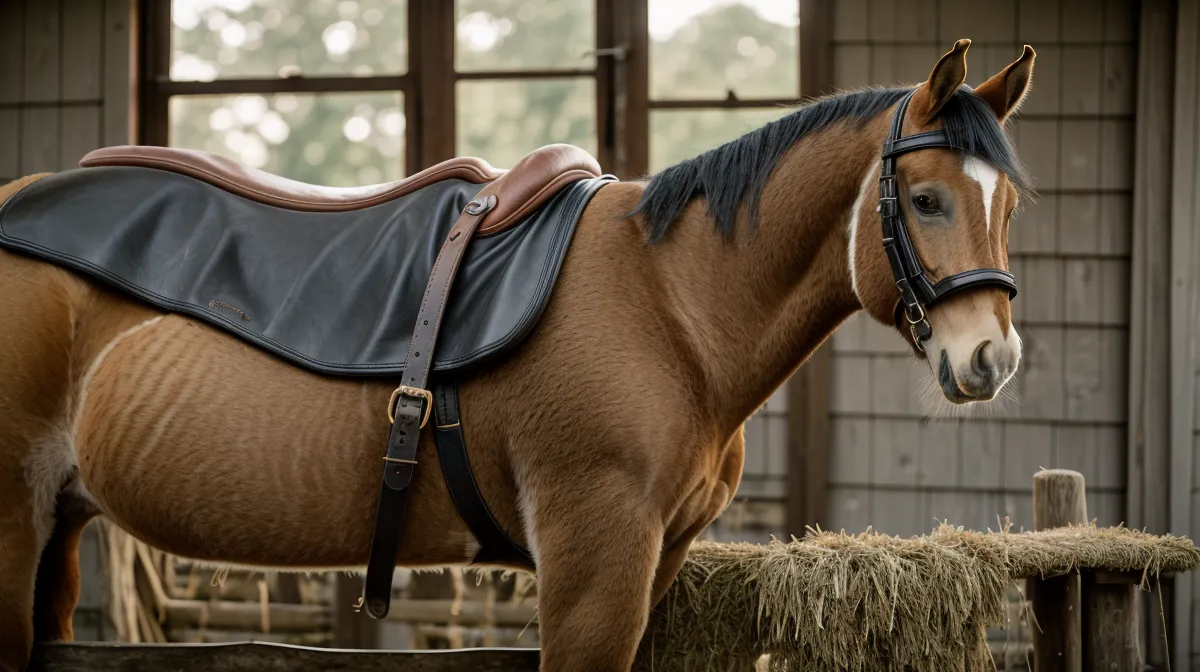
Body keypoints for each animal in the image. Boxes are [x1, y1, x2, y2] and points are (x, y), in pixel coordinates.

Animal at [0, 38, 1033, 671]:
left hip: (62, 524)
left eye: (1010, 204)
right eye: (928, 198)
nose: (991, 357)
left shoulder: (651, 563)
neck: (670, 305)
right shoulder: (593, 563)